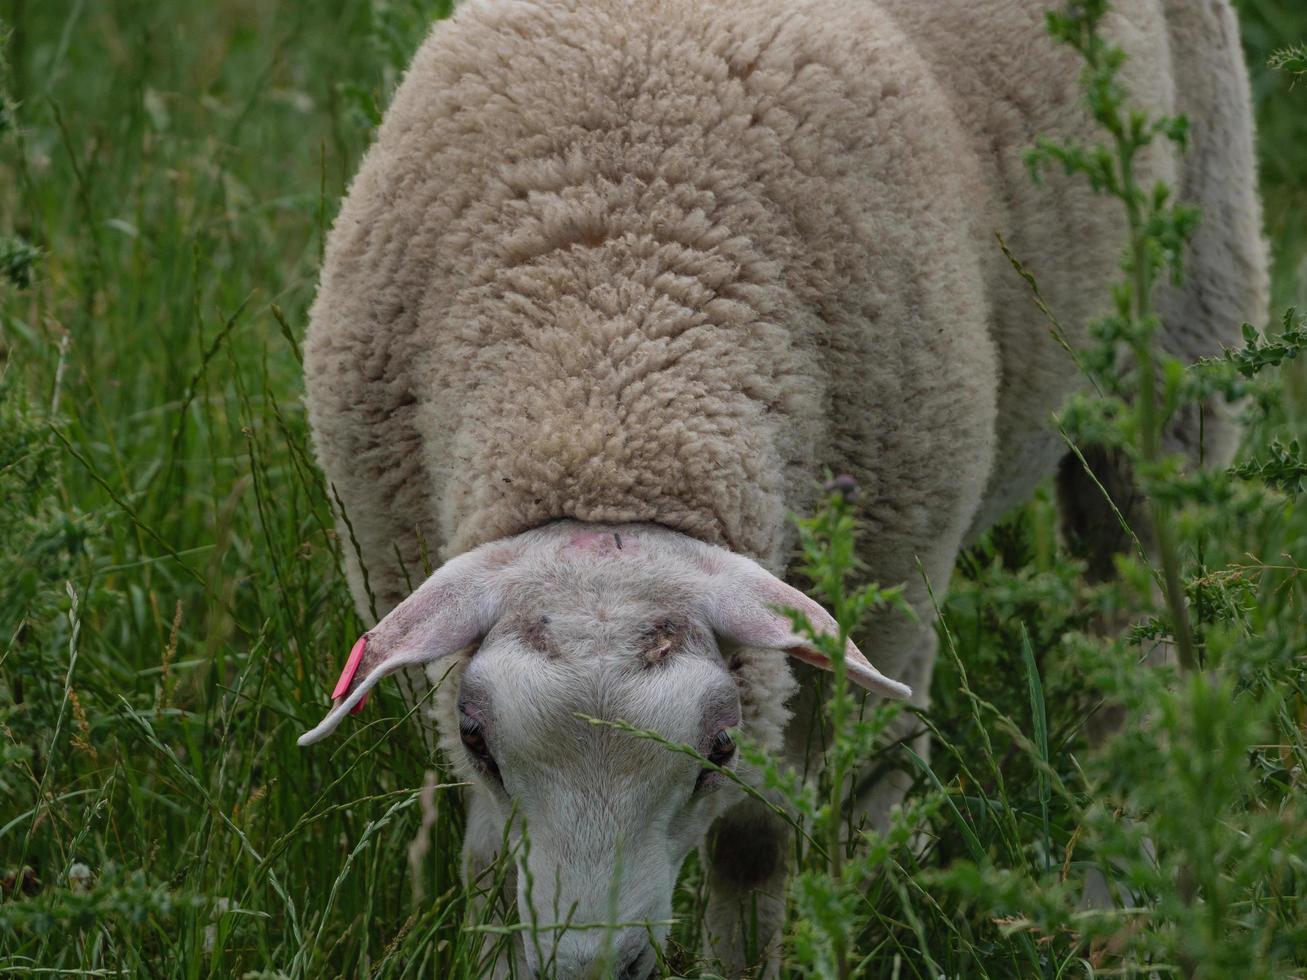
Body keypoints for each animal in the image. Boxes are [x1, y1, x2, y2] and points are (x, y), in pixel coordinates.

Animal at [299, 0, 1265, 977]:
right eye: (475, 739)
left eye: (719, 747)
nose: (592, 968)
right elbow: (491, 863)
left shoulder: (865, 592)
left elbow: (755, 839)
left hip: (1179, 331)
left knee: (1131, 630)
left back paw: (1115, 870)